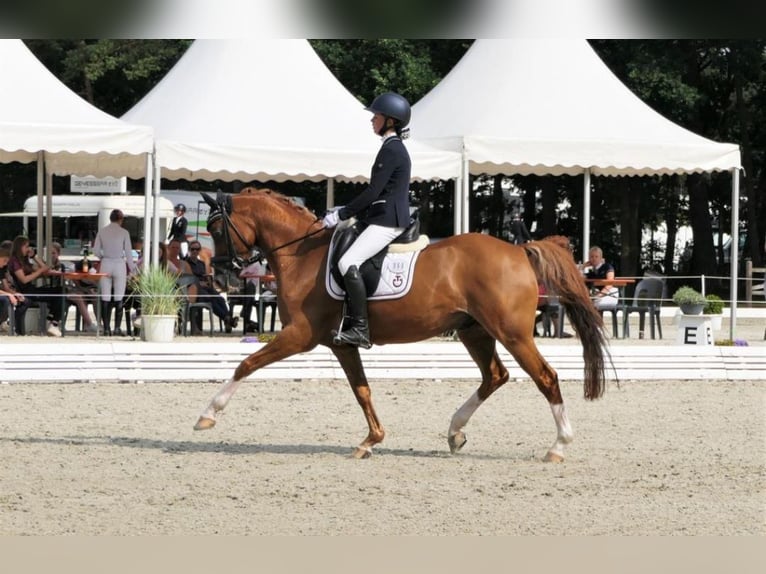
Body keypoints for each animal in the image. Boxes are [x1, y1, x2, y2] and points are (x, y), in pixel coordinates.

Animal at [196, 189, 612, 464]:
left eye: (215, 229)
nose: (223, 280)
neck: (303, 254)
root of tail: (518, 251)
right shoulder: (341, 344)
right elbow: (362, 391)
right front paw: (371, 440)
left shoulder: (299, 336)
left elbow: (246, 364)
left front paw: (208, 415)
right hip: (474, 330)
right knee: (495, 376)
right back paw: (455, 431)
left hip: (511, 333)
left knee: (546, 377)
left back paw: (558, 446)